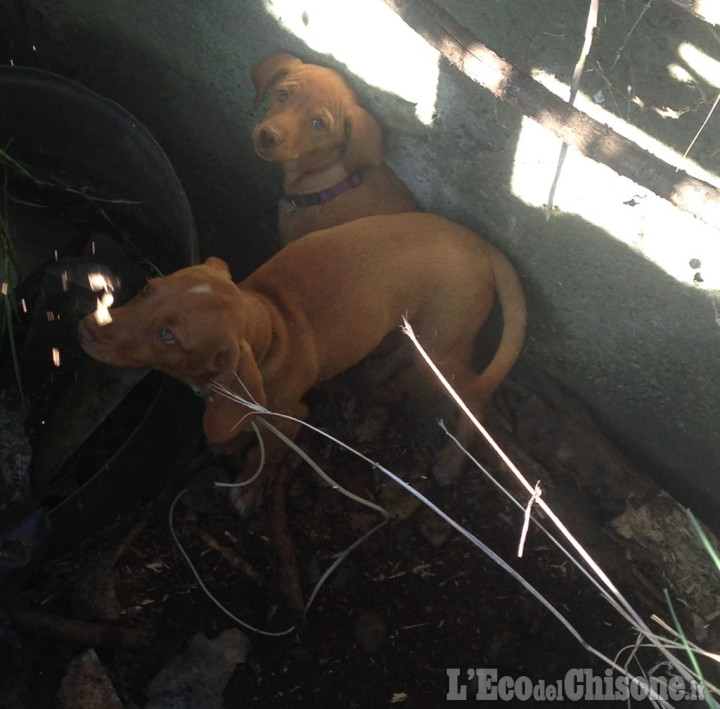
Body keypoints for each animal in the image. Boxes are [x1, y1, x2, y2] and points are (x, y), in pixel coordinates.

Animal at [79, 210, 524, 508]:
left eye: (168, 336)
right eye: (148, 288)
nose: (85, 329)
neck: (272, 325)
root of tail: (485, 247)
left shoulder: (292, 418)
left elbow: (268, 455)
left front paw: (248, 490)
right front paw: (232, 444)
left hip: (442, 350)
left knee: (475, 398)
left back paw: (451, 461)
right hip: (418, 335)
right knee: (399, 353)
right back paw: (368, 383)